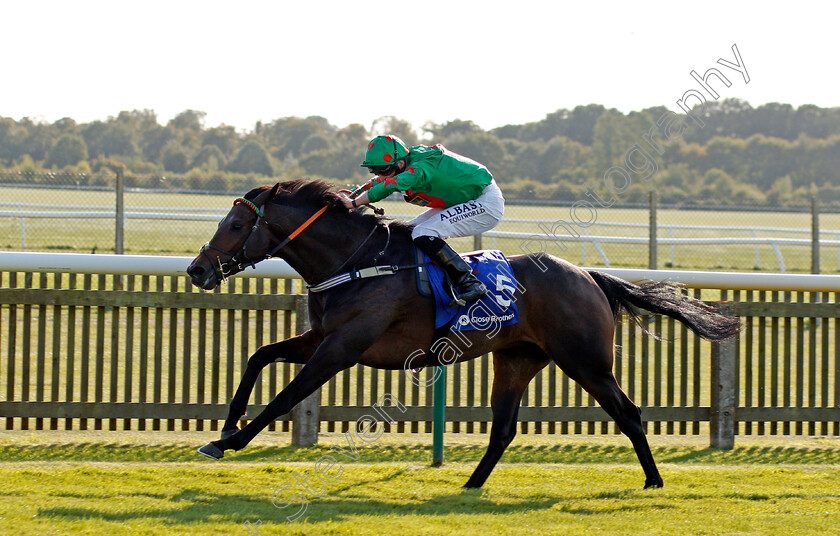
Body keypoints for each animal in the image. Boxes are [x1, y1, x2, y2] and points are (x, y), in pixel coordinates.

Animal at [187, 179, 740, 490]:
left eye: (234, 225)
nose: (196, 270)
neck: (356, 261)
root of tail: (588, 276)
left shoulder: (342, 348)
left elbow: (286, 396)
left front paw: (228, 441)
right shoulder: (319, 338)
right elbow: (259, 356)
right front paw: (227, 424)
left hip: (585, 361)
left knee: (629, 413)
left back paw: (653, 480)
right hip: (516, 359)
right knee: (503, 429)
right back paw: (471, 484)